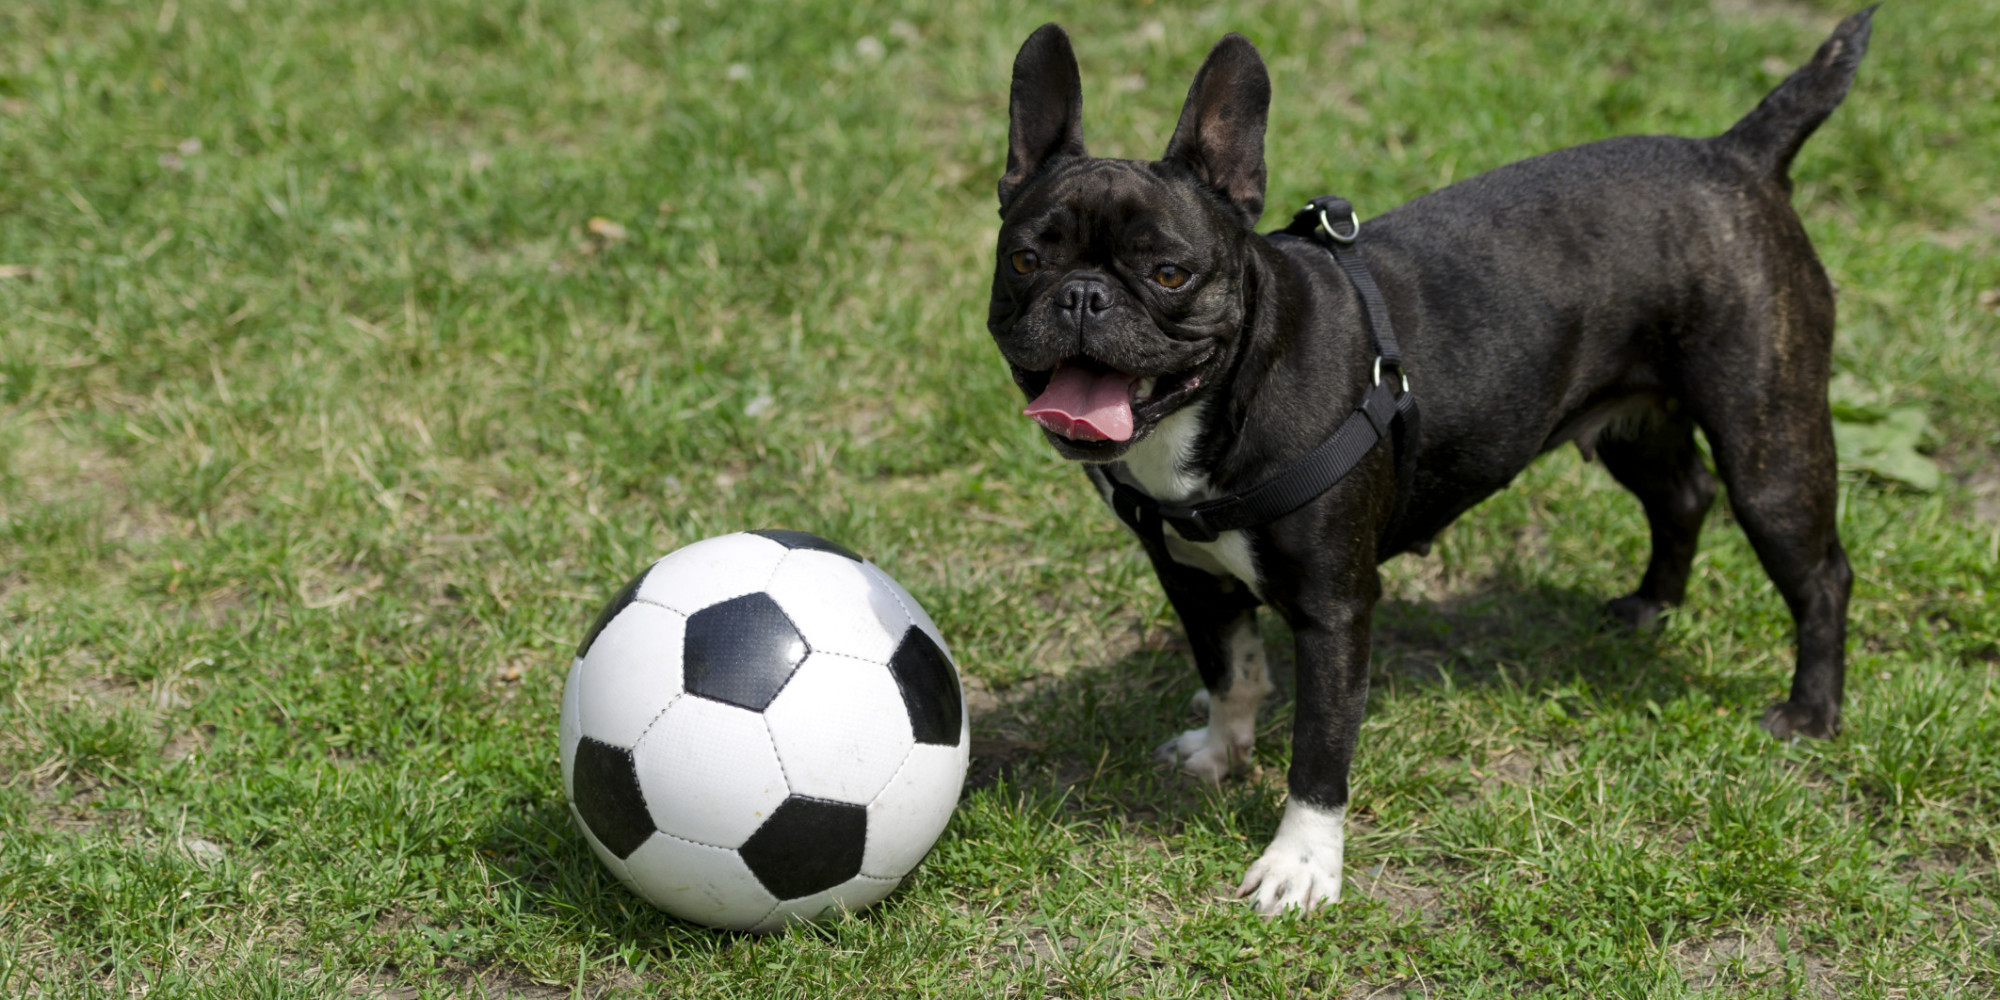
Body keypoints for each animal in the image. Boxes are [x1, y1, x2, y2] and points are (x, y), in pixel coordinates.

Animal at [984, 9, 1872, 916]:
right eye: (1024, 260)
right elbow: (1232, 670)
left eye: (1168, 273)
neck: (1230, 392)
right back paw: (1651, 606)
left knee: (1818, 573)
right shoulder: (1193, 578)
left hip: (1769, 449)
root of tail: (1736, 154)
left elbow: (1319, 747)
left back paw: (1810, 714)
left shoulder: (1336, 611)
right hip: (1636, 424)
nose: (1083, 295)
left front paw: (1301, 864)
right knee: (1682, 494)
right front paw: (1220, 750)